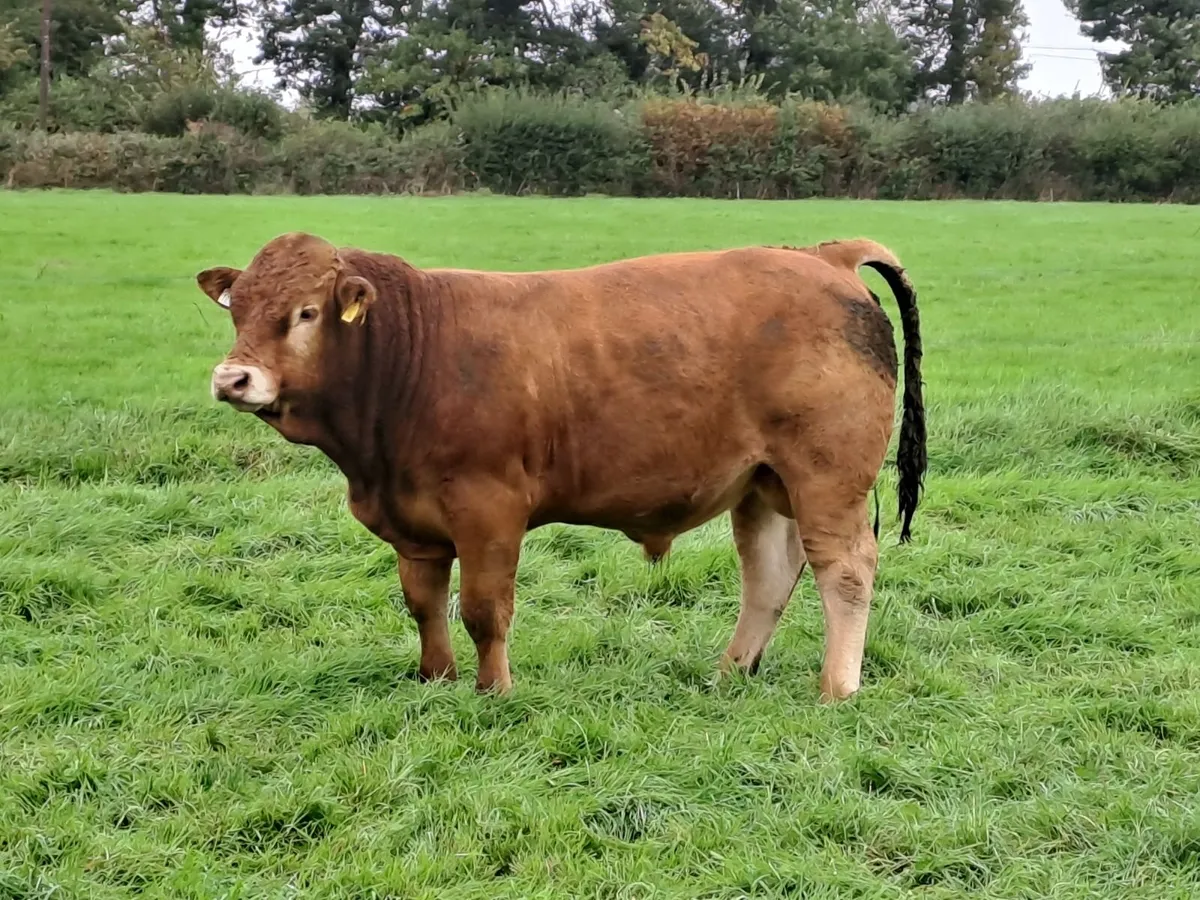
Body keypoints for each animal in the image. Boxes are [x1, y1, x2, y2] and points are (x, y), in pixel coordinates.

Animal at [196, 232, 926, 701]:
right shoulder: (414, 525)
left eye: (306, 312)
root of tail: (823, 256)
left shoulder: (488, 510)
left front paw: (494, 691)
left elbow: (484, 609)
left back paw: (837, 689)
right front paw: (436, 682)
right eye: (239, 309)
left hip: (825, 478)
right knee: (770, 577)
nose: (233, 379)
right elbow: (424, 605)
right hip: (765, 485)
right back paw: (728, 674)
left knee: (846, 570)